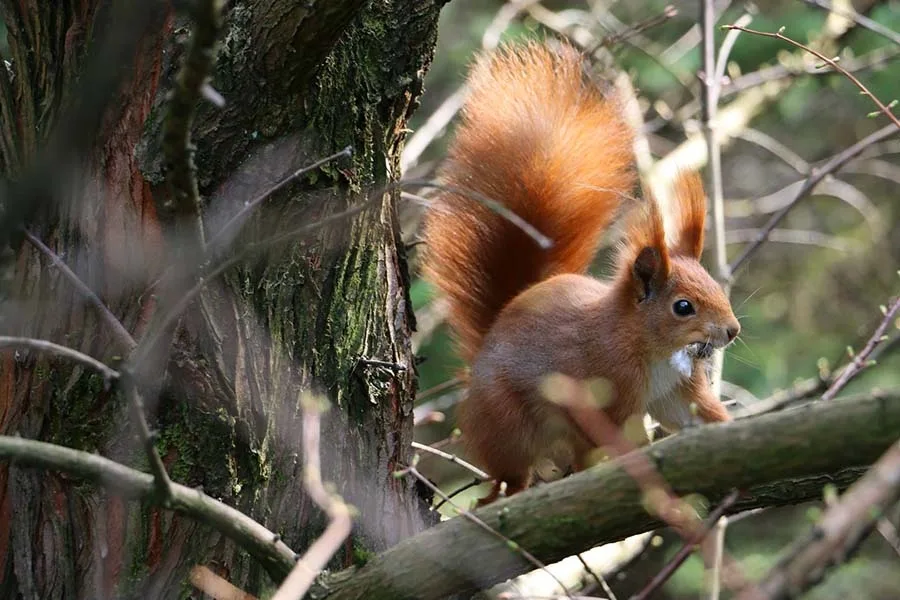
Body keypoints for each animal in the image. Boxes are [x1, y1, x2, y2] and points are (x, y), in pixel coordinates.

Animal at [420, 41, 741, 506]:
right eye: (683, 307)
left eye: (718, 287)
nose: (732, 331)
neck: (651, 348)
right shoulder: (598, 381)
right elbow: (601, 431)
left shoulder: (676, 389)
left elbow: (696, 415)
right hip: (507, 421)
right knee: (512, 468)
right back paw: (505, 492)